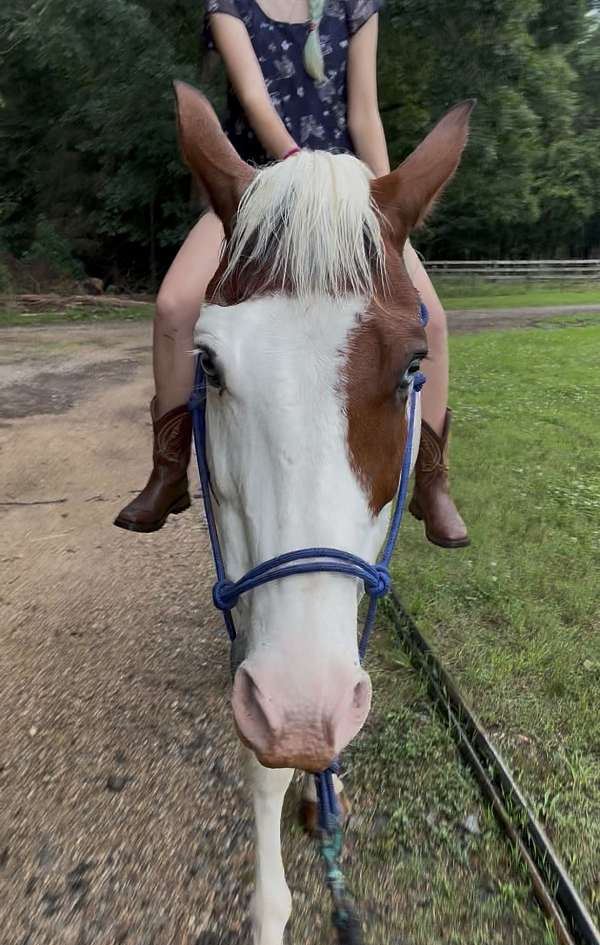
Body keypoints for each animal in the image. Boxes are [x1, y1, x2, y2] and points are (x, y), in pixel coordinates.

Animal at [174, 82, 472, 945]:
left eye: (413, 365)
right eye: (208, 362)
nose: (304, 707)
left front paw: (322, 777)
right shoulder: (254, 620)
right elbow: (264, 751)